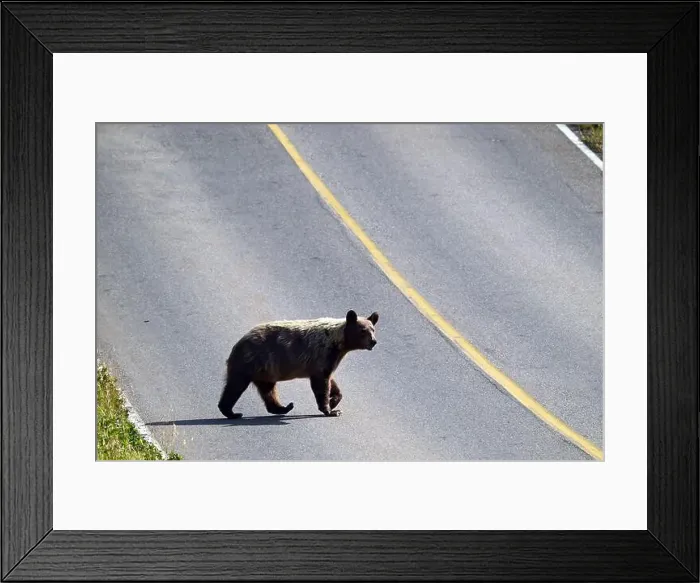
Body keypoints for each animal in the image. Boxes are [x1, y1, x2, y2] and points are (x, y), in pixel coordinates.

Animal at [218, 310, 379, 419]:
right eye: (363, 330)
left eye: (373, 329)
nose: (373, 341)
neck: (338, 344)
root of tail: (239, 342)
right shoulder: (321, 355)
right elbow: (321, 383)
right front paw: (330, 410)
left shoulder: (329, 360)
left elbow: (331, 381)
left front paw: (334, 401)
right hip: (252, 361)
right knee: (236, 386)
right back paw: (232, 412)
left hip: (265, 371)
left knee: (268, 390)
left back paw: (283, 407)